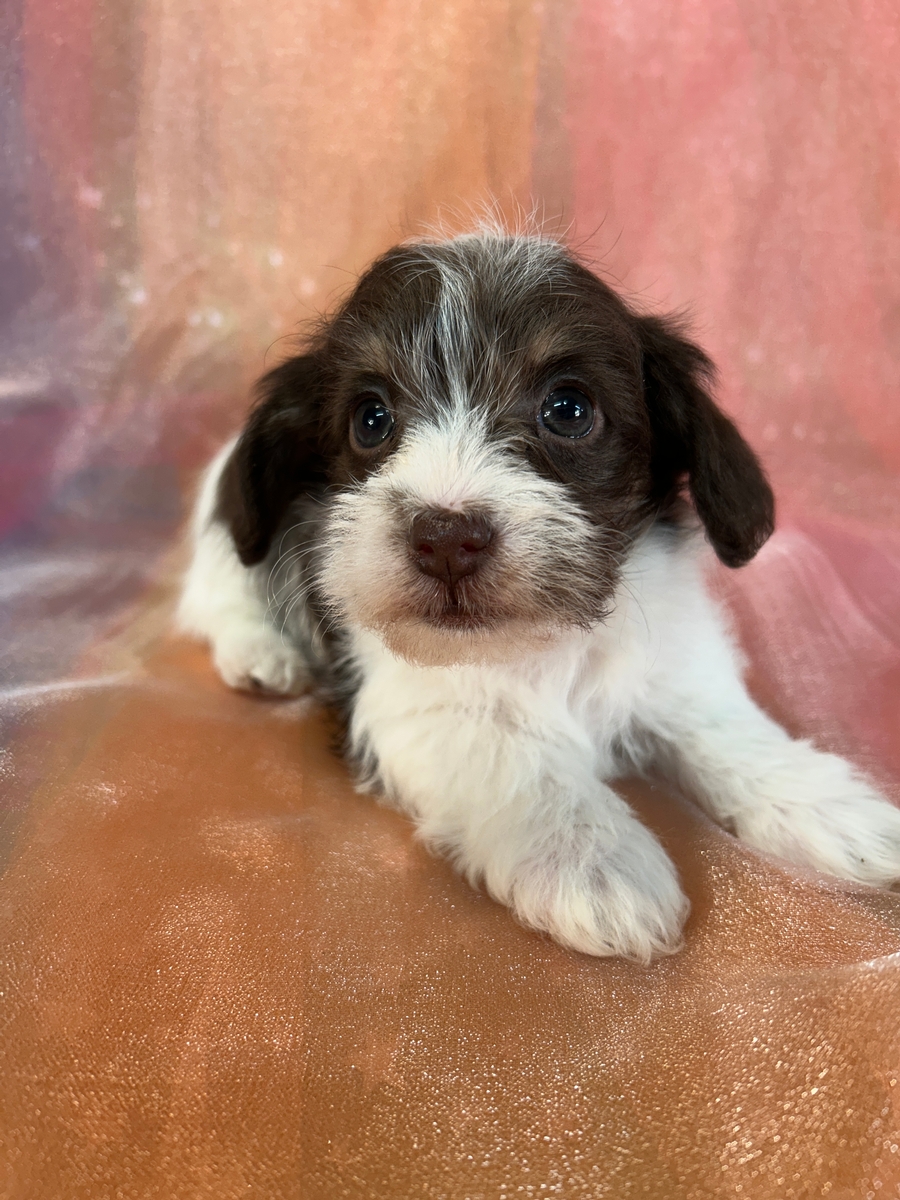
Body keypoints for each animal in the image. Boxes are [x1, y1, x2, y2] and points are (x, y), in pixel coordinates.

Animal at [177, 231, 900, 964]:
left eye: (569, 410)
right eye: (371, 419)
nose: (446, 538)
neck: (539, 644)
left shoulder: (672, 664)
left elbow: (723, 728)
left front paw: (830, 808)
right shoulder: (417, 706)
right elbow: (515, 757)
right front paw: (593, 860)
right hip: (228, 543)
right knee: (218, 604)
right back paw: (261, 656)